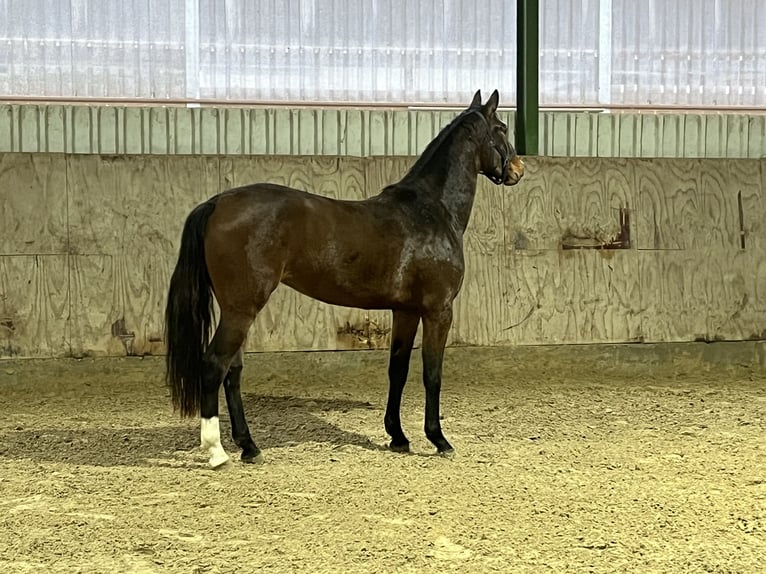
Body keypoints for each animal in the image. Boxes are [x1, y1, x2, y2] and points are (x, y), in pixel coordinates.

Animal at [164, 89, 525, 467]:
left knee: (232, 372)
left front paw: (398, 436)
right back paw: (217, 452)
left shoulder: (406, 311)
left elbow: (398, 370)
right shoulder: (438, 310)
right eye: (501, 129)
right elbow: (432, 373)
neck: (430, 211)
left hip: (237, 310)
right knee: (214, 365)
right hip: (242, 310)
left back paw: (249, 446)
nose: (518, 169)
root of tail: (217, 202)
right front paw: (438, 439)